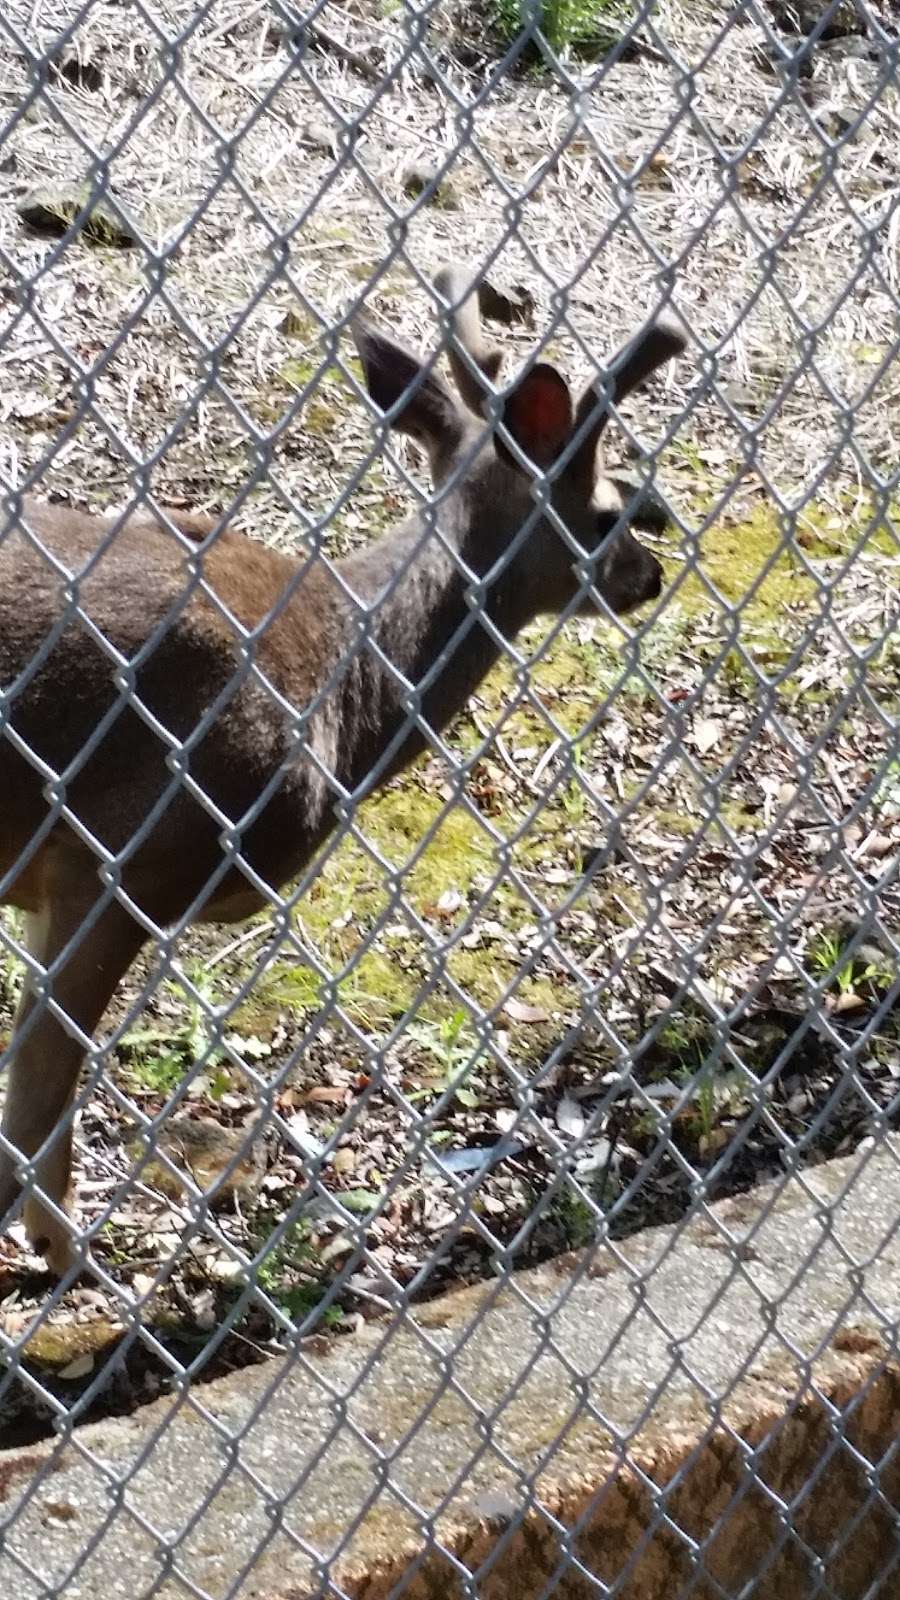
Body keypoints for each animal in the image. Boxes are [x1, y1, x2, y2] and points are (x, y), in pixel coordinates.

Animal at [0, 268, 682, 1280]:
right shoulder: (120, 857)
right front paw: (67, 1254)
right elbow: (41, 1092)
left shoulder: (56, 884)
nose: (653, 571)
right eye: (607, 512)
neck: (343, 686)